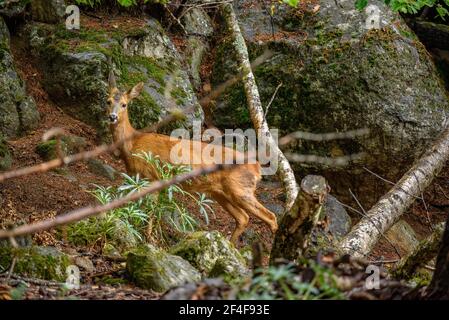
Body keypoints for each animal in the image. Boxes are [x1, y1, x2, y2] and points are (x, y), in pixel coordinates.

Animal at [107, 72, 278, 242]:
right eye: (108, 101)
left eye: (124, 104)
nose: (112, 116)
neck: (132, 143)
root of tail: (257, 169)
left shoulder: (152, 177)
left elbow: (150, 209)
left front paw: (149, 238)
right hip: (220, 193)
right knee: (243, 218)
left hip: (240, 188)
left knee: (271, 217)